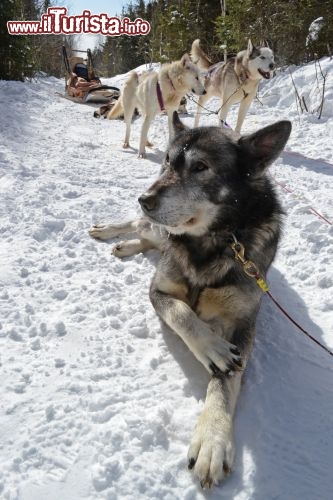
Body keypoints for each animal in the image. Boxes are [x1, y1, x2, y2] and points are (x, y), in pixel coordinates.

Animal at [89, 112, 290, 488]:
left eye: (200, 167)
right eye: (167, 162)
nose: (144, 198)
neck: (210, 243)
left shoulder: (243, 323)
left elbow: (225, 380)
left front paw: (212, 439)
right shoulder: (159, 290)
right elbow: (182, 312)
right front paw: (211, 347)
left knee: (148, 234)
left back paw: (126, 244)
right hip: (154, 228)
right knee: (141, 226)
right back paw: (111, 231)